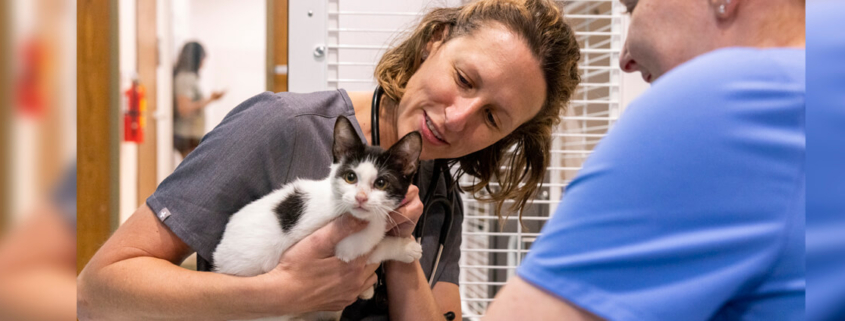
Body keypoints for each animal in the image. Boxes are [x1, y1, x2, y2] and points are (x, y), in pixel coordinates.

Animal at [211, 116, 422, 318]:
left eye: (381, 183)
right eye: (350, 177)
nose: (360, 198)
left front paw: (367, 289)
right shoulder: (344, 247)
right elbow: (373, 248)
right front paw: (405, 248)